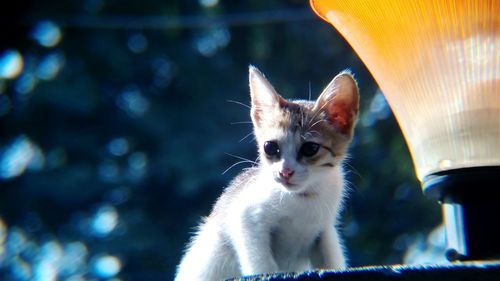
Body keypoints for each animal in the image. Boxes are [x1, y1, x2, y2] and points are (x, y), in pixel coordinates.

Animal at [174, 66, 358, 280]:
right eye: (270, 147)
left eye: (310, 148)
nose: (285, 172)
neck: (303, 197)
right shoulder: (247, 218)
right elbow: (262, 265)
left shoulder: (324, 231)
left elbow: (331, 261)